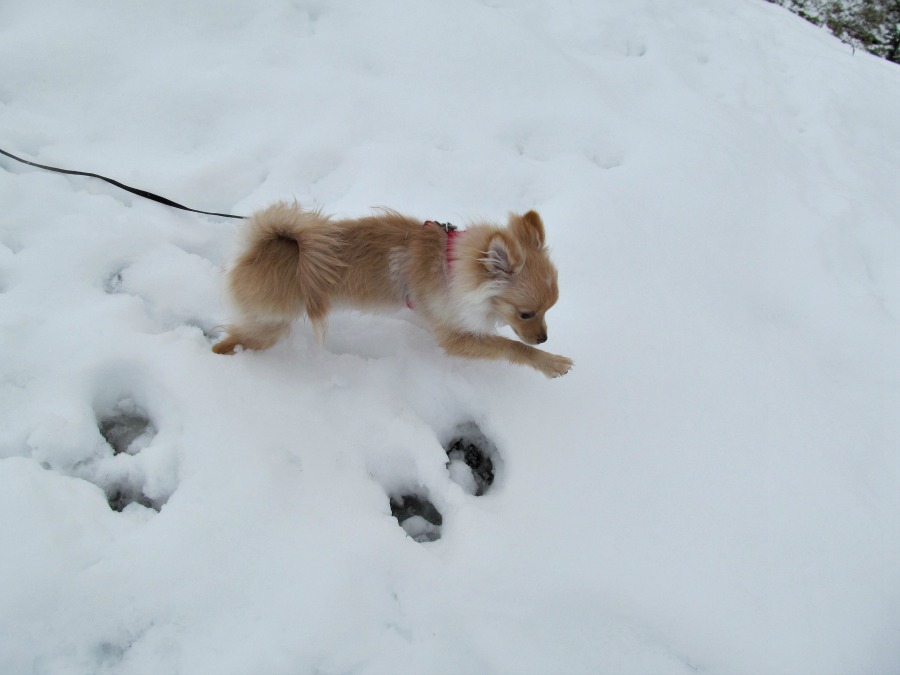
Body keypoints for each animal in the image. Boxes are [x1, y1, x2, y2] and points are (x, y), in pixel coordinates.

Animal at [214, 203, 572, 378]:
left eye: (550, 309)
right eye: (526, 313)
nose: (544, 338)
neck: (450, 263)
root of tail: (256, 250)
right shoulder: (453, 336)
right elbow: (511, 347)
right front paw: (550, 362)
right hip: (268, 327)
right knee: (228, 343)